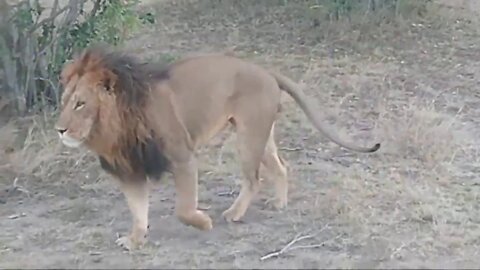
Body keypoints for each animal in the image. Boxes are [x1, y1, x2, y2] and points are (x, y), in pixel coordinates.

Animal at [54, 46, 380, 251]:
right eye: (64, 101)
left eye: (80, 104)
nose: (59, 129)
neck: (116, 126)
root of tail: (266, 72)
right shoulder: (129, 170)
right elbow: (138, 212)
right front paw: (134, 240)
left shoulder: (182, 156)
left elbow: (183, 209)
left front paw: (203, 222)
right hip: (261, 136)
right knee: (280, 167)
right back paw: (279, 203)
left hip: (248, 138)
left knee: (253, 179)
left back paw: (234, 213)